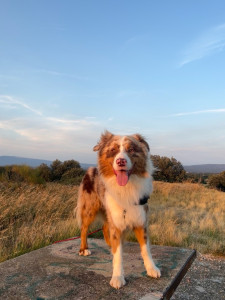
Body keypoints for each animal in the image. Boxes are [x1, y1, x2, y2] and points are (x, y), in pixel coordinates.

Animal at [76, 131, 161, 288]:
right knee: (84, 229)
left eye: (131, 149)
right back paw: (84, 249)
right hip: (90, 209)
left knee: (105, 228)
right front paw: (117, 277)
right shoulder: (115, 220)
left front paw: (151, 268)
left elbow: (145, 249)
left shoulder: (141, 221)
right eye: (113, 150)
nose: (121, 161)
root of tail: (91, 169)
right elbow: (118, 255)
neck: (126, 188)